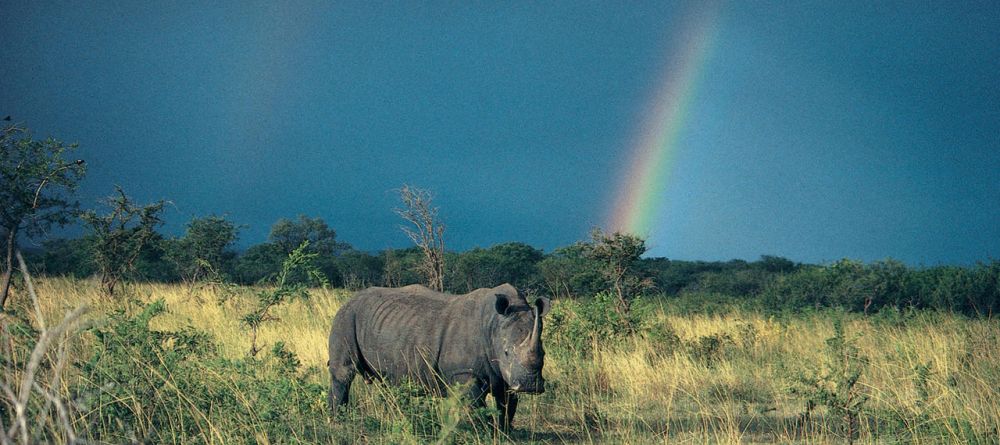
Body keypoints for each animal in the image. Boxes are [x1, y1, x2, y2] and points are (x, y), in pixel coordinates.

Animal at [328, 282, 552, 428]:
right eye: (506, 352)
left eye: (544, 352)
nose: (530, 386)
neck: (493, 325)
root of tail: (350, 299)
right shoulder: (464, 373)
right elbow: (477, 407)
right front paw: (485, 432)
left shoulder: (508, 376)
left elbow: (507, 406)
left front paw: (505, 433)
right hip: (346, 316)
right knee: (344, 373)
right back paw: (337, 421)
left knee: (387, 380)